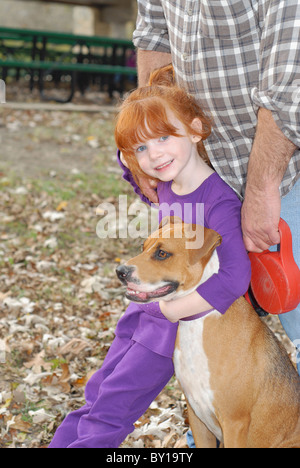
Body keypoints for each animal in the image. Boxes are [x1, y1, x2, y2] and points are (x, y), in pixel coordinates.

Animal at [116, 218, 300, 448]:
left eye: (162, 253)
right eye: (143, 247)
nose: (120, 271)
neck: (197, 321)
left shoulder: (234, 423)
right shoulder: (197, 416)